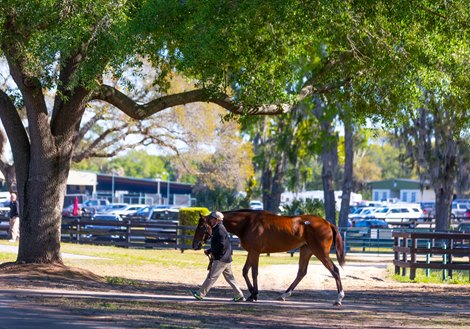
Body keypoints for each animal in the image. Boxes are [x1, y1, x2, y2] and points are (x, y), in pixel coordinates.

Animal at [191, 209, 346, 304]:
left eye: (202, 227)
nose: (195, 244)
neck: (247, 223)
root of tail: (327, 223)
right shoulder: (251, 252)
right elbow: (245, 271)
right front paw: (252, 294)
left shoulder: (255, 252)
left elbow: (254, 272)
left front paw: (254, 294)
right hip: (306, 250)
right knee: (301, 272)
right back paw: (284, 295)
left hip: (320, 252)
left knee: (334, 270)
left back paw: (339, 299)